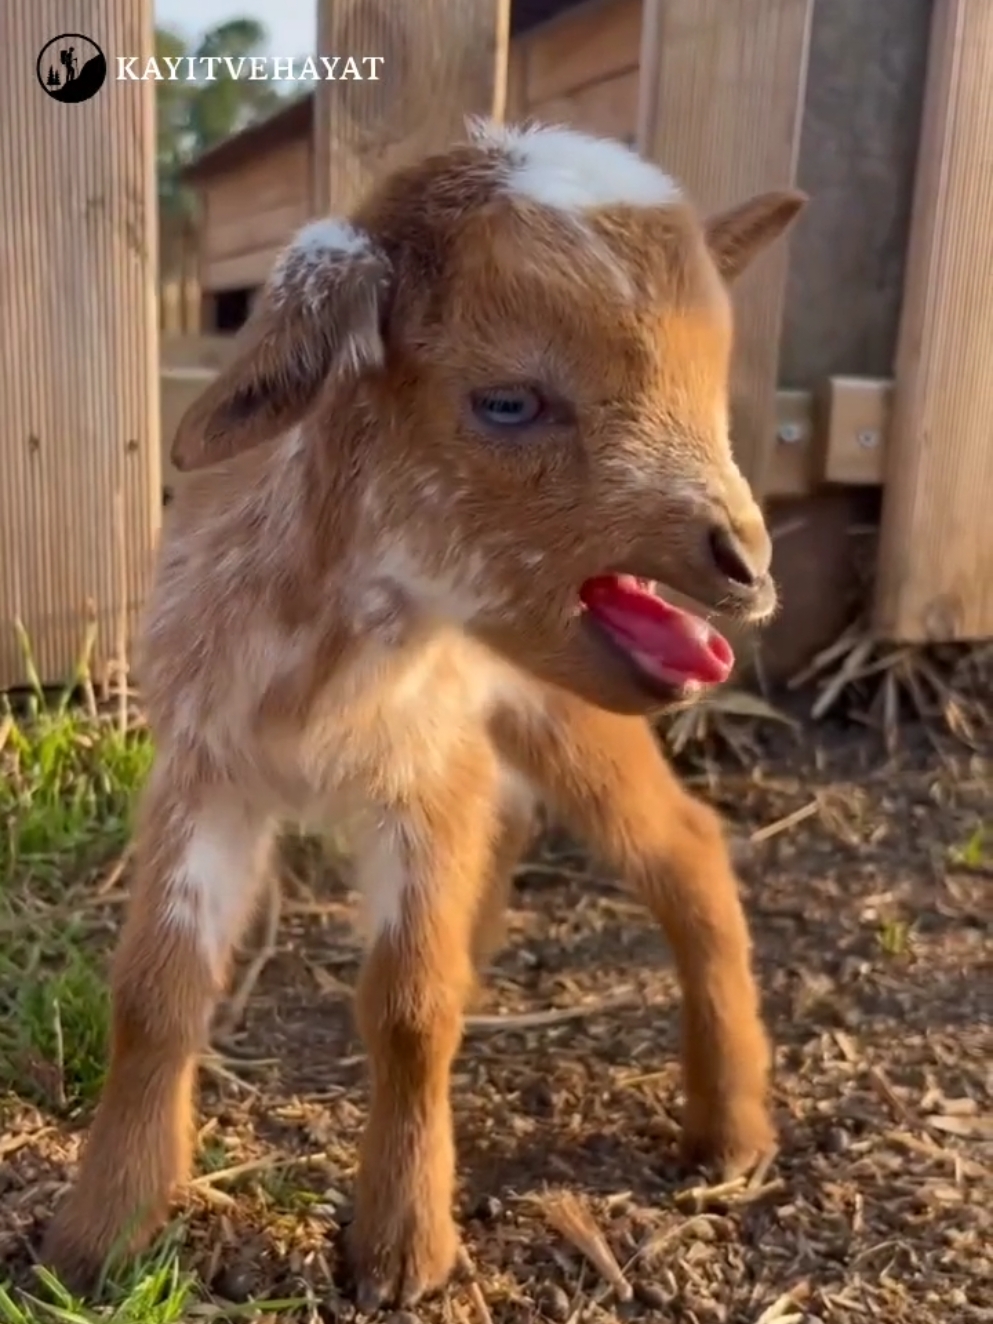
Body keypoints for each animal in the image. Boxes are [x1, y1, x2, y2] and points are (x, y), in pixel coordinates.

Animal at [44, 121, 810, 1302]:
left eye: (713, 388)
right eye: (508, 400)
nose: (745, 561)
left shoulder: (425, 774)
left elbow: (408, 1009)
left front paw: (404, 1248)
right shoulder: (204, 767)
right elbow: (155, 992)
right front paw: (101, 1233)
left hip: (563, 713)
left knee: (684, 845)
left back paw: (730, 1131)